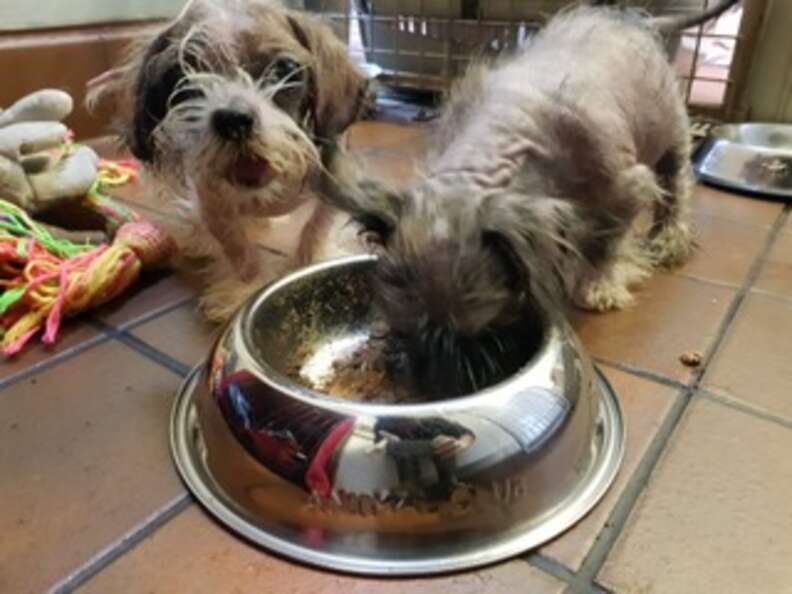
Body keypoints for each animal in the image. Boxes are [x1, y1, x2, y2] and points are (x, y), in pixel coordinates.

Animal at [320, 2, 736, 396]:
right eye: (401, 327)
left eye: (479, 332)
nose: (427, 385)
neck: (494, 157)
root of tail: (634, 20)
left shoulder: (627, 188)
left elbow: (606, 243)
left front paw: (600, 285)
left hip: (670, 131)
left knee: (677, 182)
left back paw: (669, 239)